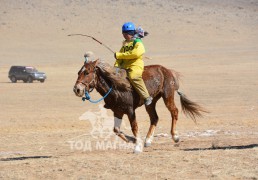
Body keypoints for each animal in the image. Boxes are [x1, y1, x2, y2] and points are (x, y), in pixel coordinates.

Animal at [73, 59, 207, 153]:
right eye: (78, 72)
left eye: (87, 72)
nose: (77, 89)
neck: (116, 87)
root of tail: (167, 70)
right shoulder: (117, 112)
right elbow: (116, 130)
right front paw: (133, 140)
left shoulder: (130, 110)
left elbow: (134, 127)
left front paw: (137, 146)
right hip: (151, 102)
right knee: (154, 118)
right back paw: (148, 140)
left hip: (168, 96)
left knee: (174, 111)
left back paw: (175, 137)